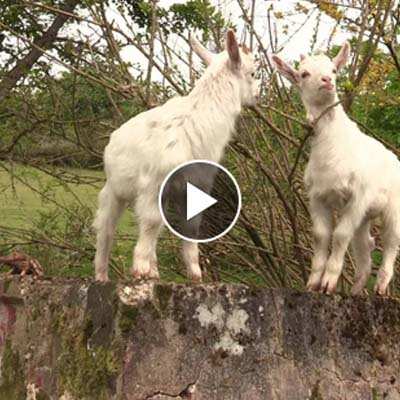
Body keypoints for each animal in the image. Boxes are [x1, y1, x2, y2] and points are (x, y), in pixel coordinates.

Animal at [93, 30, 260, 282]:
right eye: (253, 73)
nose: (258, 96)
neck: (198, 120)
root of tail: (114, 137)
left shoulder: (194, 186)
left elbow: (190, 227)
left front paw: (195, 274)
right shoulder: (154, 184)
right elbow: (151, 222)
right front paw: (139, 269)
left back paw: (154, 272)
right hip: (115, 189)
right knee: (107, 227)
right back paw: (103, 274)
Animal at [274, 43, 400, 296]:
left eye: (333, 69)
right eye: (303, 74)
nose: (326, 81)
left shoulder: (359, 195)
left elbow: (340, 235)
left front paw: (328, 282)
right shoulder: (317, 197)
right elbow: (321, 236)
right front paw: (313, 282)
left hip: (393, 205)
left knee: (392, 239)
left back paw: (381, 285)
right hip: (365, 216)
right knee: (365, 243)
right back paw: (356, 288)